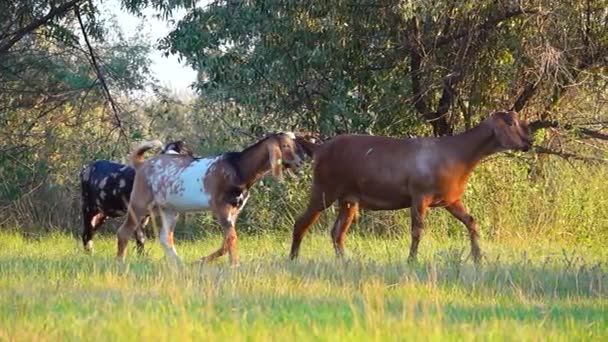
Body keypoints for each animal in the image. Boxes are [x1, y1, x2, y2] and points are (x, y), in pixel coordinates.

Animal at [115, 132, 304, 266]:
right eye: (285, 145)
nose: (301, 161)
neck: (239, 167)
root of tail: (142, 164)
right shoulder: (222, 208)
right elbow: (232, 238)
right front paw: (235, 265)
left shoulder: (235, 211)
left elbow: (226, 242)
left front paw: (201, 261)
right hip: (139, 202)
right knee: (124, 231)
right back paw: (120, 262)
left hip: (170, 209)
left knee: (165, 238)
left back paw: (180, 264)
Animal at [290, 111, 532, 264]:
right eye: (511, 123)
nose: (528, 143)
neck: (458, 154)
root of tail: (319, 148)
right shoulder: (420, 196)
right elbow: (417, 230)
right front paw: (412, 260)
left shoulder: (451, 200)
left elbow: (471, 221)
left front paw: (478, 258)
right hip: (324, 188)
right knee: (302, 222)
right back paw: (293, 258)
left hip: (349, 199)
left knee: (337, 232)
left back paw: (345, 260)